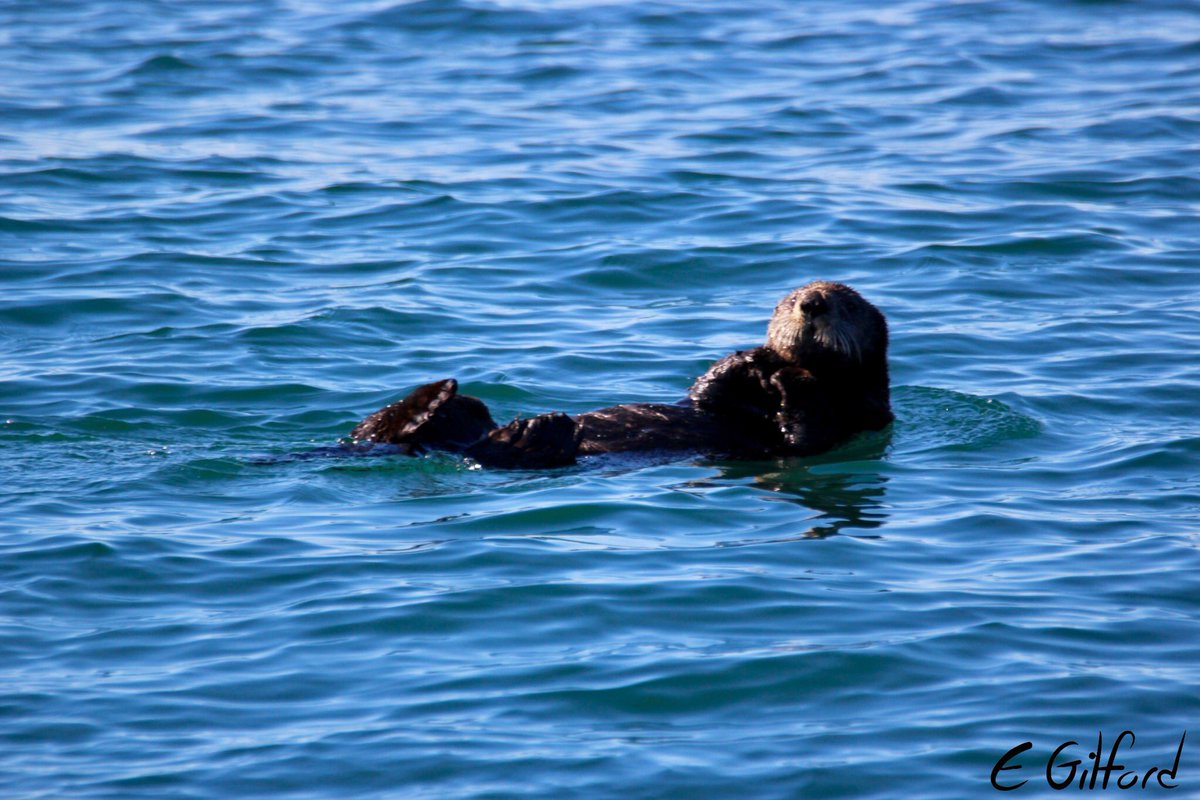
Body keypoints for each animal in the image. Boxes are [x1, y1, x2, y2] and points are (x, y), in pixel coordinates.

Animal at [348, 281, 892, 468]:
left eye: (846, 305)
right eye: (788, 299)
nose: (812, 303)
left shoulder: (858, 420)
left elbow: (805, 433)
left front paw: (789, 380)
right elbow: (705, 396)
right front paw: (746, 359)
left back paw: (537, 428)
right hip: (451, 418)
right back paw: (435, 396)